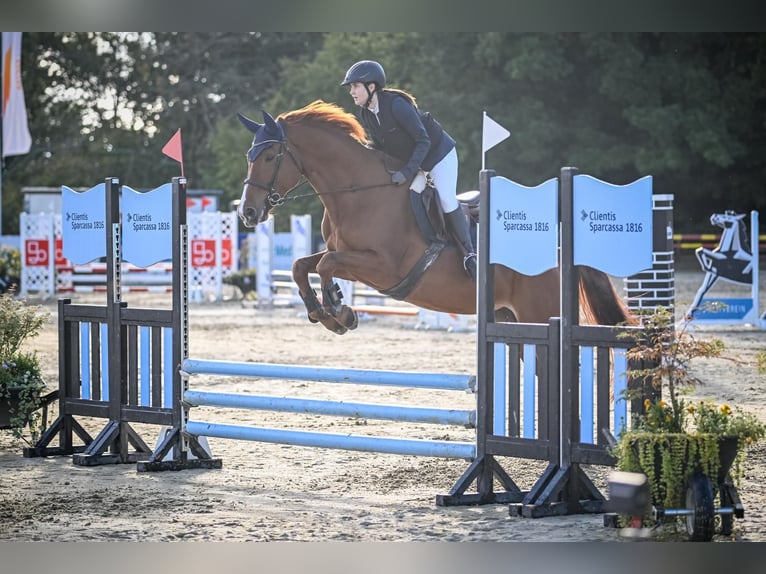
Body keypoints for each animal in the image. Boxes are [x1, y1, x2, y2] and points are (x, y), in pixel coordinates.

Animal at [236, 100, 633, 335]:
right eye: (249, 155)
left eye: (270, 156)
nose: (248, 212)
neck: (357, 191)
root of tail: (564, 244)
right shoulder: (346, 252)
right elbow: (302, 265)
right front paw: (323, 312)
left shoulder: (382, 266)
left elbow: (326, 264)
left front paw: (338, 309)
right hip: (511, 316)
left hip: (539, 311)